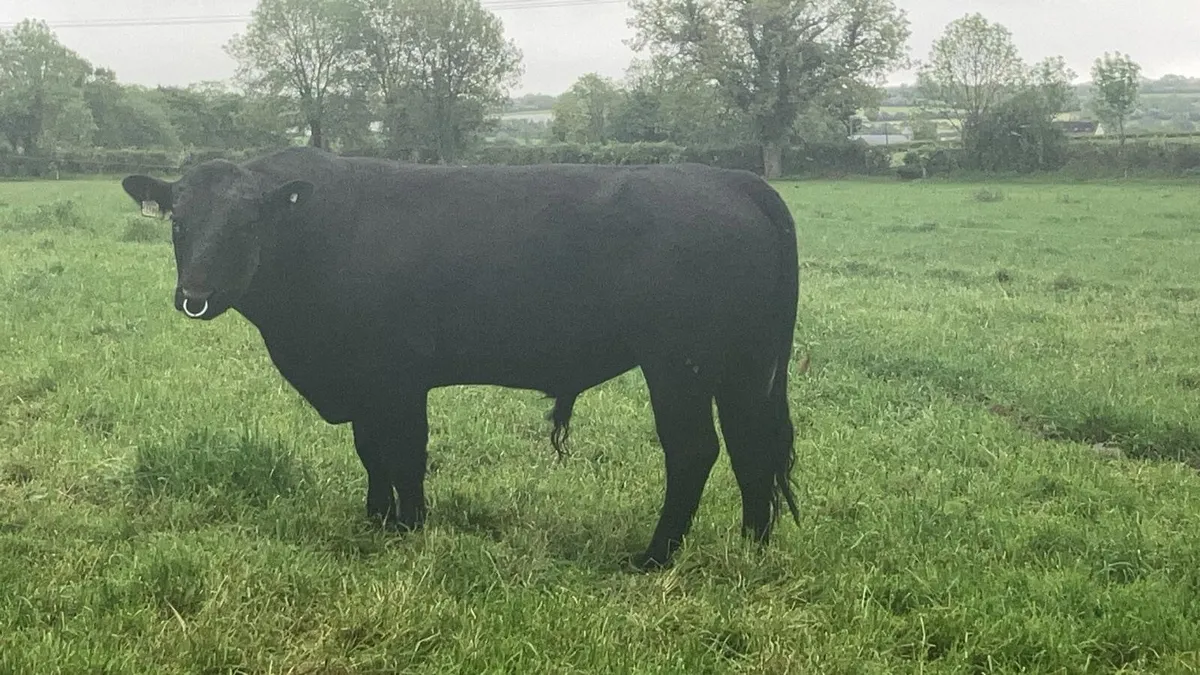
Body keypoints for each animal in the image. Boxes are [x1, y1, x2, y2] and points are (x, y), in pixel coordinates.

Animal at [120, 146, 800, 569]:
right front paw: (376, 522)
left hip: (679, 365)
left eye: (249, 222)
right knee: (752, 448)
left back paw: (655, 557)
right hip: (746, 367)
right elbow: (372, 452)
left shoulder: (395, 376)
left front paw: (409, 527)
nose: (196, 296)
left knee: (694, 452)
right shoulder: (367, 383)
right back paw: (751, 545)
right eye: (177, 222)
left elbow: (404, 454)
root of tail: (730, 179)